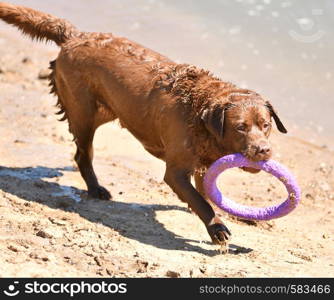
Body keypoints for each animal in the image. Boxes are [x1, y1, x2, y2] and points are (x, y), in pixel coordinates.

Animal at [0, 3, 288, 245]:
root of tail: (75, 35)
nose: (263, 150)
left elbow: (203, 192)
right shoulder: (175, 171)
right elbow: (200, 201)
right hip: (83, 113)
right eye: (240, 127)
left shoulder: (203, 163)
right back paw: (95, 189)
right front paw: (217, 228)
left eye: (266, 125)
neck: (199, 110)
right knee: (83, 154)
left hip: (107, 110)